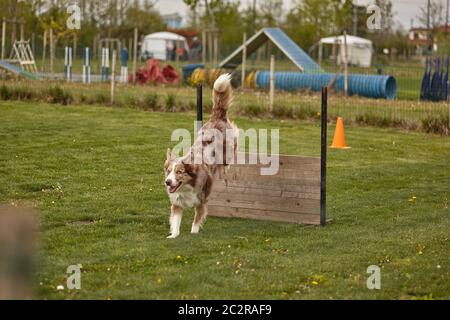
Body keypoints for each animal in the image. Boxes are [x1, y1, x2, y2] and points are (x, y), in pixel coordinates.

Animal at [163, 72, 237, 238]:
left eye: (179, 172)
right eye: (168, 171)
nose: (168, 182)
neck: (186, 187)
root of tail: (217, 117)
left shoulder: (202, 201)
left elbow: (196, 220)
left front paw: (194, 233)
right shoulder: (177, 203)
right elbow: (175, 222)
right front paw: (173, 236)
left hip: (228, 151)